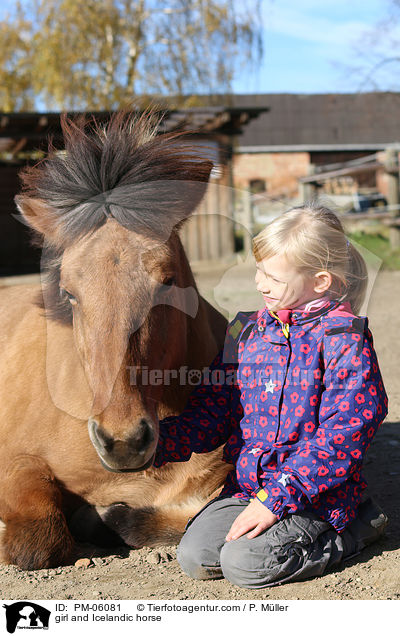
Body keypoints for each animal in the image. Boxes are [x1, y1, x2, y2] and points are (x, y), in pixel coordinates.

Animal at [0, 110, 231, 572]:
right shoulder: (15, 463)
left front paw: (106, 518)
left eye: (167, 282)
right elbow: (37, 539)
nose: (122, 443)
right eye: (68, 293)